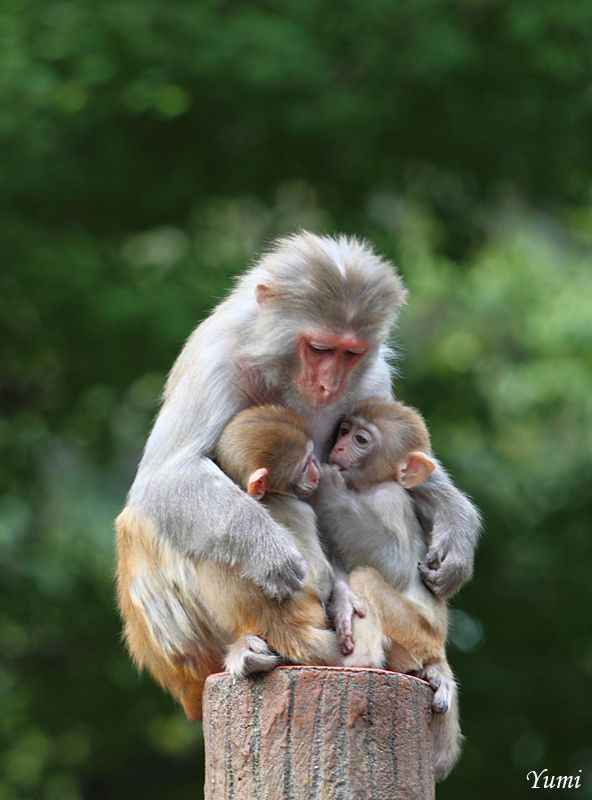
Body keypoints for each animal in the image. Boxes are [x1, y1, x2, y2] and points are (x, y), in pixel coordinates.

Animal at [314, 398, 462, 780]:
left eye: (361, 440)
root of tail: (439, 646)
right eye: (344, 430)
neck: (368, 485)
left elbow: (392, 562)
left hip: (418, 633)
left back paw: (360, 662)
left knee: (366, 577)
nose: (338, 447)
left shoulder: (390, 497)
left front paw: (329, 488)